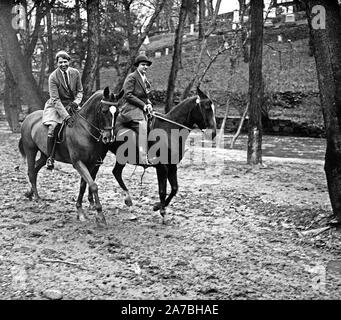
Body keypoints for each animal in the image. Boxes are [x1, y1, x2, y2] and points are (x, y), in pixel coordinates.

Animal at [18, 87, 122, 226]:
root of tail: (29, 117)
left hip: (44, 154)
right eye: (104, 111)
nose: (108, 138)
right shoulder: (78, 162)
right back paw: (37, 198)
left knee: (34, 169)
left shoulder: (91, 163)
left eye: (117, 113)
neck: (85, 129)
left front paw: (81, 210)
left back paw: (30, 194)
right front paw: (99, 215)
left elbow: (84, 185)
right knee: (31, 171)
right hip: (31, 150)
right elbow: (93, 185)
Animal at [83, 87, 215, 222]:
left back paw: (124, 199)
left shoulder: (172, 166)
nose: (213, 132)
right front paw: (161, 209)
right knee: (94, 173)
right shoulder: (162, 167)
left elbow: (174, 189)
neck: (169, 130)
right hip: (101, 154)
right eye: (207, 107)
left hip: (121, 157)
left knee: (115, 172)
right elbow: (162, 190)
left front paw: (158, 206)